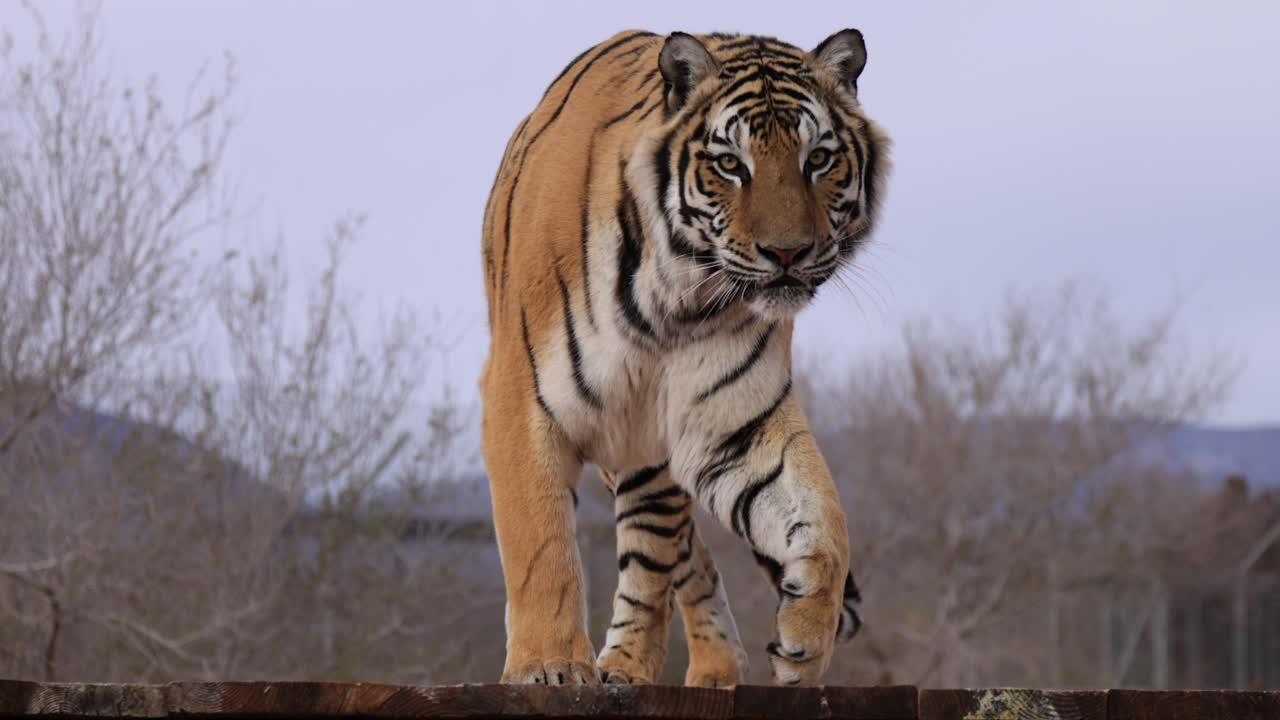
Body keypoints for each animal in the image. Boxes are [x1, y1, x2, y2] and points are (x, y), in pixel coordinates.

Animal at [479, 28, 890, 687]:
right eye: (730, 164)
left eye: (819, 159)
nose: (788, 253)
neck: (678, 295)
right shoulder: (520, 396)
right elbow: (539, 542)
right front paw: (548, 667)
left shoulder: (727, 421)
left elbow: (823, 519)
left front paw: (804, 642)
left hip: (648, 449)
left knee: (661, 557)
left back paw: (660, 668)